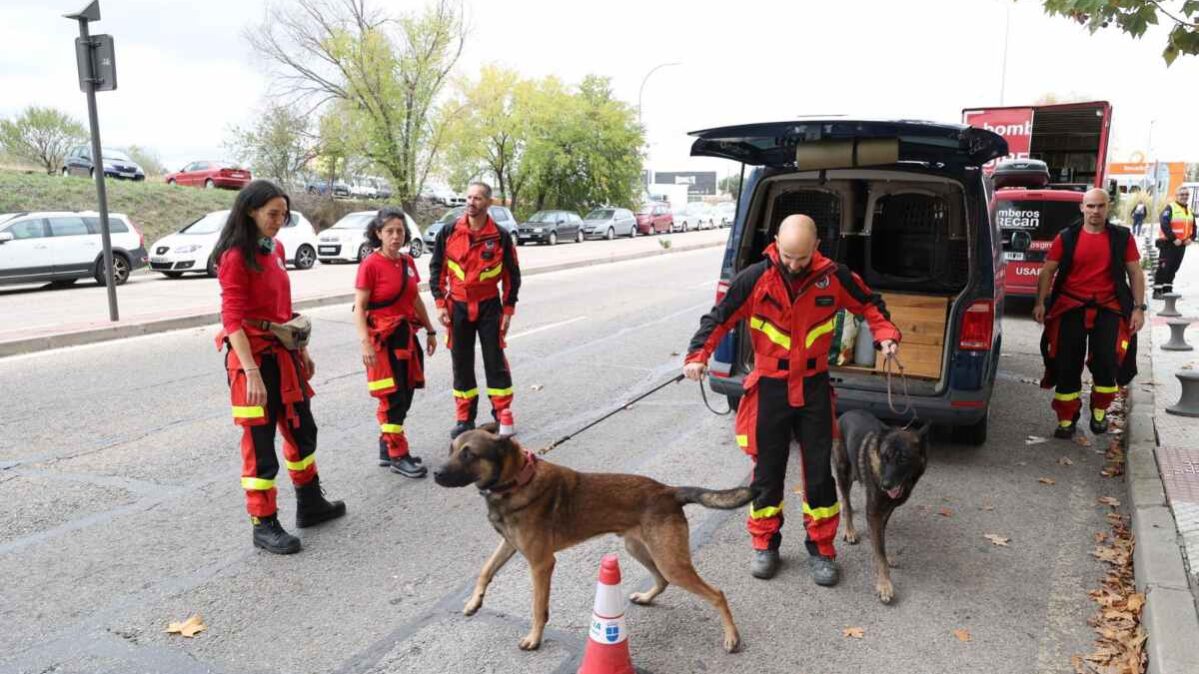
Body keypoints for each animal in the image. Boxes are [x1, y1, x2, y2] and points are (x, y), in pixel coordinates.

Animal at [431, 424, 748, 652]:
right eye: (452, 449)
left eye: (469, 454)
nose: (435, 473)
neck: (516, 481)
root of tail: (668, 491)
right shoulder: (509, 544)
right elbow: (485, 571)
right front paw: (474, 602)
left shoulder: (541, 563)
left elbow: (537, 607)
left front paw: (534, 638)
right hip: (639, 549)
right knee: (661, 580)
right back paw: (647, 597)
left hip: (670, 560)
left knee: (716, 594)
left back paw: (732, 637)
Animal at [834, 410, 925, 604]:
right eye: (885, 458)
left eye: (903, 459)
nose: (885, 485)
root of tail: (845, 414)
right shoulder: (874, 512)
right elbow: (879, 549)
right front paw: (884, 584)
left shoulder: (886, 511)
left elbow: (881, 540)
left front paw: (884, 555)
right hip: (843, 471)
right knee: (846, 498)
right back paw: (850, 530)